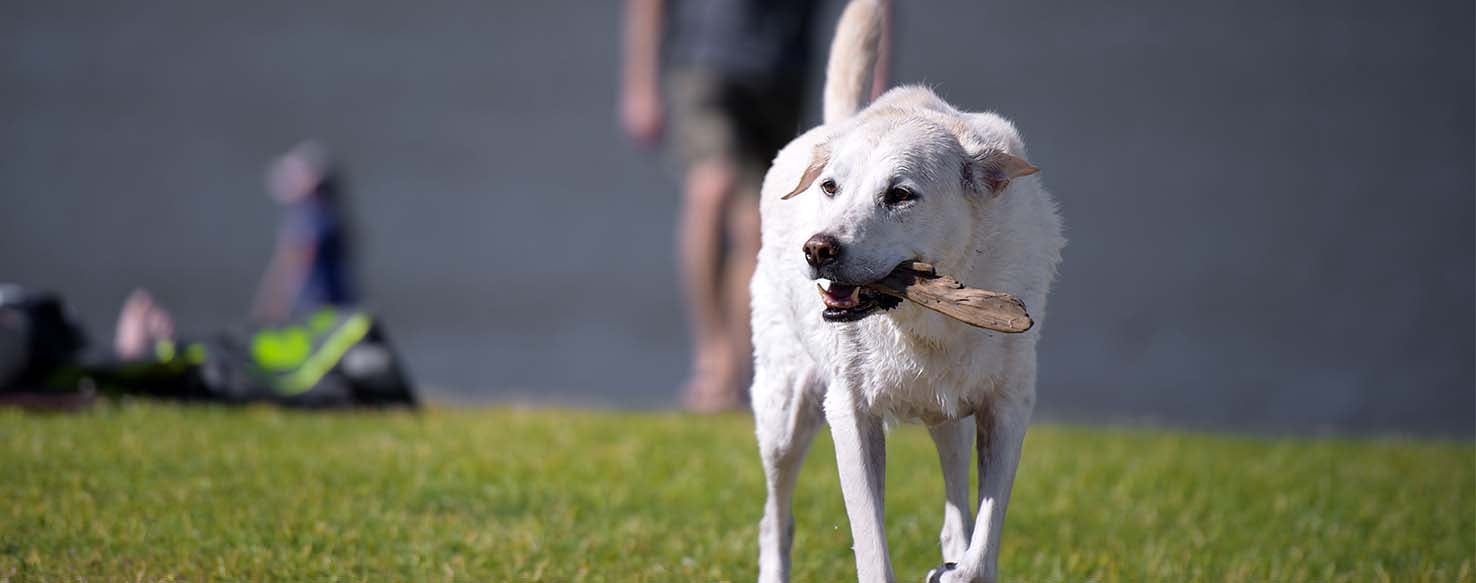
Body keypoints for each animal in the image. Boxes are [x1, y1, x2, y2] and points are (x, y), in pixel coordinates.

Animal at [749, 2, 1062, 581]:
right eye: (830, 187)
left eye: (899, 195)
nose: (818, 249)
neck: (923, 323)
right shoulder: (851, 413)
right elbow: (870, 542)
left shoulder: (1008, 407)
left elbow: (984, 536)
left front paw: (960, 569)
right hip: (784, 410)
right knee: (775, 519)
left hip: (951, 414)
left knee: (955, 502)